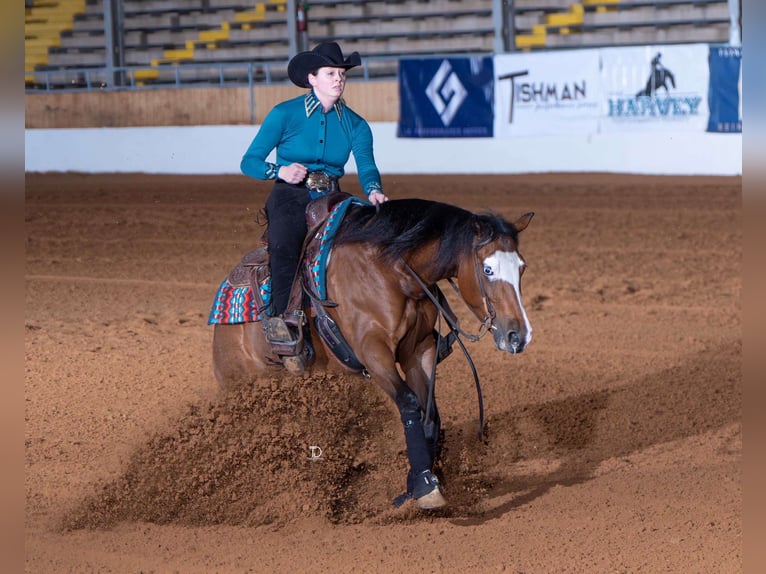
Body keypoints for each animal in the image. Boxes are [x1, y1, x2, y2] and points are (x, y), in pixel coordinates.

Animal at [211, 196, 534, 509]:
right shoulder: (374, 352)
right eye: (488, 269)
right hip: (241, 389)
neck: (393, 272)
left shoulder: (420, 349)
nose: (519, 336)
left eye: (522, 267)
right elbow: (409, 404)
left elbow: (430, 413)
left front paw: (412, 487)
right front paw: (425, 486)